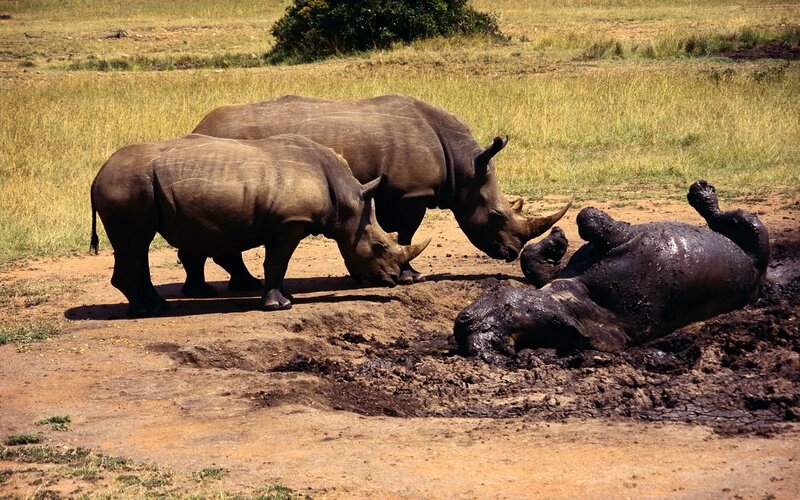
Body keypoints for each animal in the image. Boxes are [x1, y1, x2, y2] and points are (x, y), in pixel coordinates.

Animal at [90, 134, 429, 317]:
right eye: (379, 246)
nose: (393, 280)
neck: (347, 203)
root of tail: (97, 176)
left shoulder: (286, 222)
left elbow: (277, 263)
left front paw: (287, 298)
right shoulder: (289, 222)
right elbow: (277, 262)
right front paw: (281, 306)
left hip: (132, 186)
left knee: (135, 244)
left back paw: (154, 307)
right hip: (127, 187)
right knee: (135, 241)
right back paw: (153, 310)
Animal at [192, 93, 570, 285]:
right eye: (496, 215)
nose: (512, 253)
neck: (463, 165)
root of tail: (199, 126)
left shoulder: (393, 192)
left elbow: (387, 230)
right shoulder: (411, 192)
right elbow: (406, 232)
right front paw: (411, 276)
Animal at [454, 180, 770, 360]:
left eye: (507, 311)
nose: (466, 327)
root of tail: (759, 276)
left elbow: (581, 223)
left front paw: (558, 240)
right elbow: (587, 220)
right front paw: (559, 239)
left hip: (751, 234)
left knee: (726, 218)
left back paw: (701, 191)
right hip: (752, 231)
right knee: (726, 218)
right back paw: (702, 193)